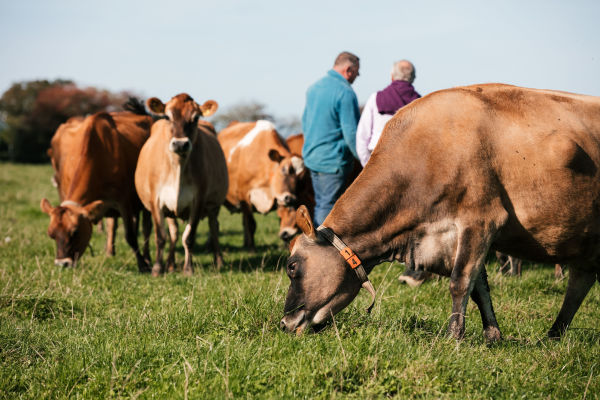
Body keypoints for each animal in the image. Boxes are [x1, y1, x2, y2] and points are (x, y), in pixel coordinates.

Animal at [40, 111, 152, 270]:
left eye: (75, 232)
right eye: (51, 234)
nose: (62, 264)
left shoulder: (124, 201)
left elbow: (130, 236)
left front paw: (143, 265)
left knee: (147, 229)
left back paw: (147, 257)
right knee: (112, 224)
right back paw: (110, 252)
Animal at [135, 94, 229, 276]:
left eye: (196, 117)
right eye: (167, 116)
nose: (180, 144)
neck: (177, 169)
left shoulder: (198, 201)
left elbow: (189, 237)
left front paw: (188, 268)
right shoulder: (155, 201)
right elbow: (161, 237)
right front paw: (157, 268)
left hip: (214, 205)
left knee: (214, 228)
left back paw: (219, 261)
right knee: (173, 233)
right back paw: (170, 264)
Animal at [218, 120, 304, 248]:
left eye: (300, 176)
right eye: (284, 169)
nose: (290, 198)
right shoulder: (244, 195)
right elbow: (250, 224)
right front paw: (251, 248)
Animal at [280, 84, 600, 340]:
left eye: (292, 267)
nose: (283, 323)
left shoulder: (481, 220)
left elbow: (460, 283)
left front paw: (453, 337)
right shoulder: (448, 238)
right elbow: (479, 289)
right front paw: (492, 335)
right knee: (579, 283)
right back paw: (553, 336)